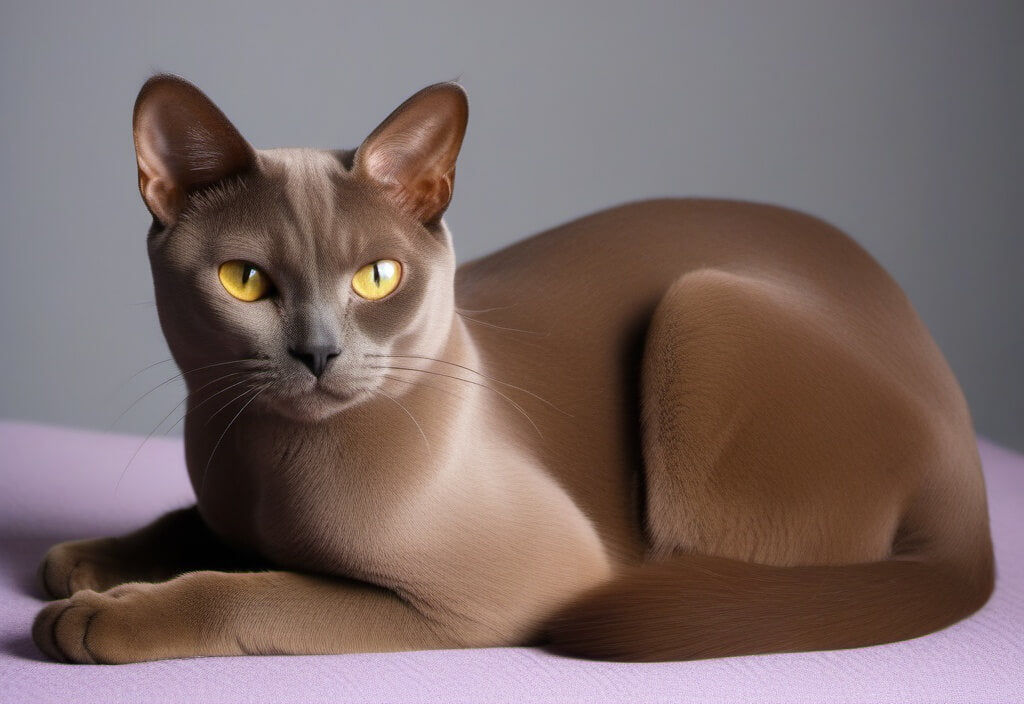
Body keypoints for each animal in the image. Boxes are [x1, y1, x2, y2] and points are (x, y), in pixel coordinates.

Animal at [32, 76, 991, 667]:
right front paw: (86, 560)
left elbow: (255, 591)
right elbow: (192, 524)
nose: (318, 351)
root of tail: (968, 462)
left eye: (377, 278)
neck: (272, 467)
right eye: (245, 281)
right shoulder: (226, 484)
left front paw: (98, 615)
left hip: (703, 304)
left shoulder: (474, 599)